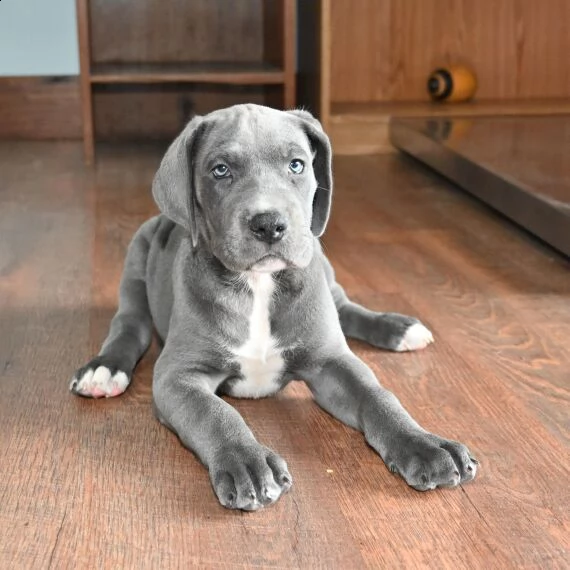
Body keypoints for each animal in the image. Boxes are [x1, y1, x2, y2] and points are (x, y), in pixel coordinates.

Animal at [73, 103, 478, 510]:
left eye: (297, 165)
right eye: (221, 170)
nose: (269, 224)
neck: (259, 285)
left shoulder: (331, 361)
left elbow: (379, 397)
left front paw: (424, 444)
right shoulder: (177, 375)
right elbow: (215, 413)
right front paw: (246, 462)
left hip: (323, 270)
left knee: (344, 307)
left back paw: (399, 329)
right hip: (136, 262)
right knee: (129, 325)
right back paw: (104, 370)